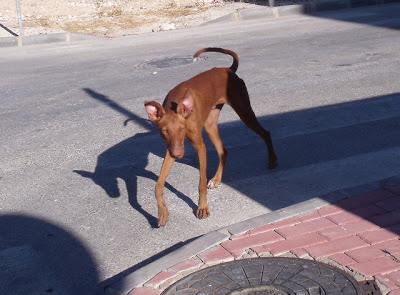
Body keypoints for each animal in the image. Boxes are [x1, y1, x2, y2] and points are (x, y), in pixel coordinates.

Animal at [145, 48, 278, 228]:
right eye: (163, 132)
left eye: (181, 129)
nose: (179, 155)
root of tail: (228, 69)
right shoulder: (171, 148)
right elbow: (158, 185)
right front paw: (162, 213)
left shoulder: (199, 146)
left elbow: (201, 183)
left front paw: (202, 208)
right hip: (210, 125)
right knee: (224, 151)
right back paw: (216, 179)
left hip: (244, 111)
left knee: (266, 133)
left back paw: (272, 160)